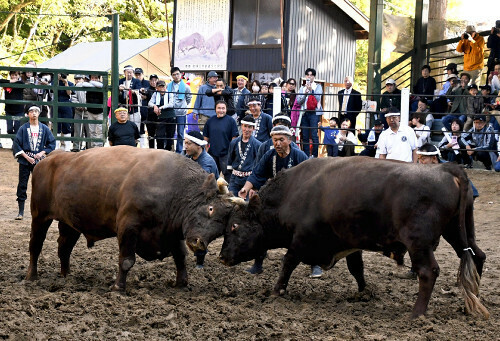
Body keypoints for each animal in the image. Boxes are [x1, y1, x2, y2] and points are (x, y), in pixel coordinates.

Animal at [28, 146, 235, 290]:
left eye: (221, 229)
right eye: (210, 208)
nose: (199, 243)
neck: (173, 187)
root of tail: (52, 157)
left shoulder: (173, 232)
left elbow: (180, 257)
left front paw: (181, 283)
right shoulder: (128, 227)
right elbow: (127, 260)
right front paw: (118, 287)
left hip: (69, 223)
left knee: (64, 247)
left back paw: (66, 276)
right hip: (39, 216)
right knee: (35, 245)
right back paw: (32, 276)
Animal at [221, 157, 490, 318]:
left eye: (234, 226)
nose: (223, 256)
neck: (293, 192)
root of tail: (446, 168)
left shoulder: (301, 239)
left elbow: (288, 263)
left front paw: (277, 291)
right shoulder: (351, 242)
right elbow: (356, 268)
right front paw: (364, 292)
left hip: (419, 242)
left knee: (428, 272)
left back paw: (417, 313)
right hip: (458, 231)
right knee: (477, 256)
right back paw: (474, 300)